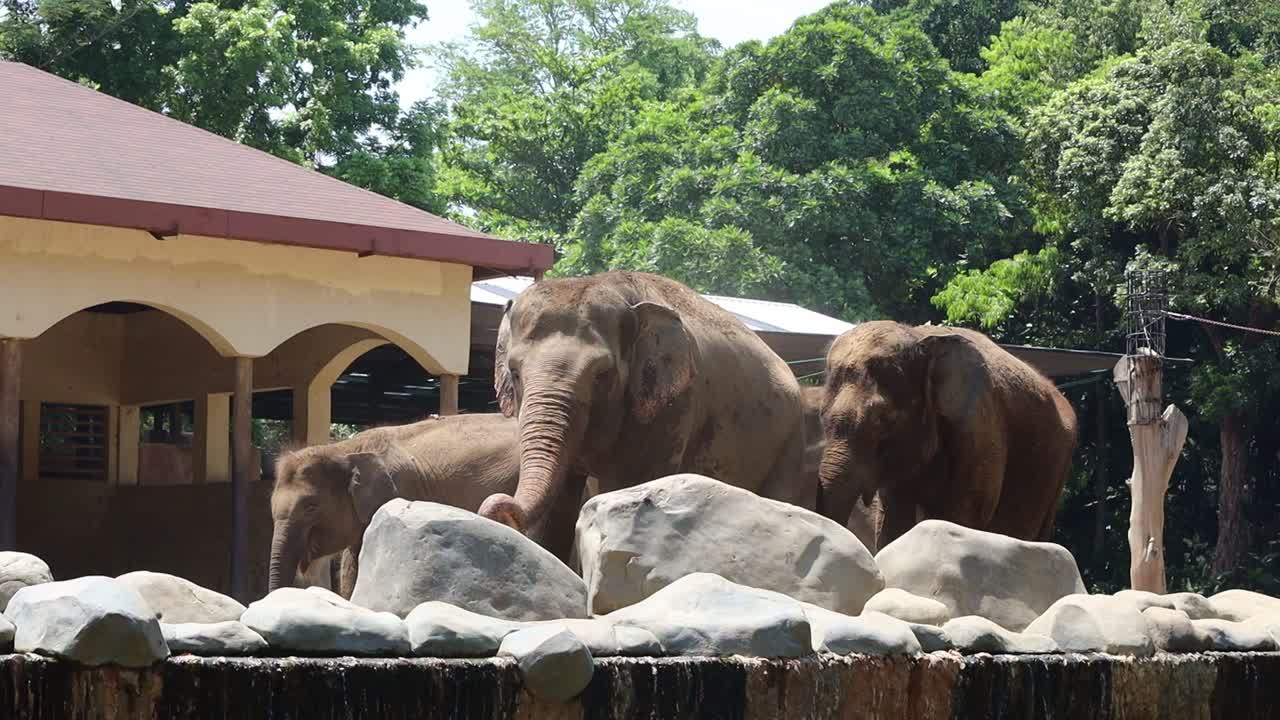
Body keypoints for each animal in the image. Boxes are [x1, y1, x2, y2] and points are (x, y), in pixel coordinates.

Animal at [478, 271, 811, 537]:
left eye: (603, 374)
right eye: (515, 372)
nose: (498, 505)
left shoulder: (672, 406)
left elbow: (629, 484)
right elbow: (558, 503)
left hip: (791, 439)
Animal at [817, 321, 1078, 550]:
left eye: (882, 420)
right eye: (822, 416)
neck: (920, 338)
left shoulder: (978, 426)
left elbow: (965, 512)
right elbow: (893, 518)